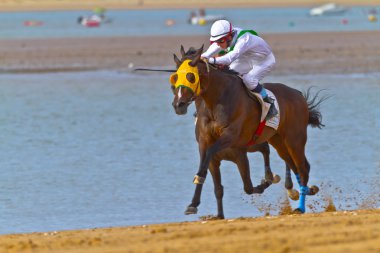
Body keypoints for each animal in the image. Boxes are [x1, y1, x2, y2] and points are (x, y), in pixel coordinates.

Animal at [171, 45, 326, 215]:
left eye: (191, 77)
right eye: (175, 78)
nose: (178, 105)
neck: (217, 101)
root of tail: (298, 94)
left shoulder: (232, 139)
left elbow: (239, 178)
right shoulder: (205, 142)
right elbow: (204, 169)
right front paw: (193, 203)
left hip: (294, 139)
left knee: (303, 167)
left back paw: (300, 206)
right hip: (278, 141)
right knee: (294, 164)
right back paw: (304, 191)